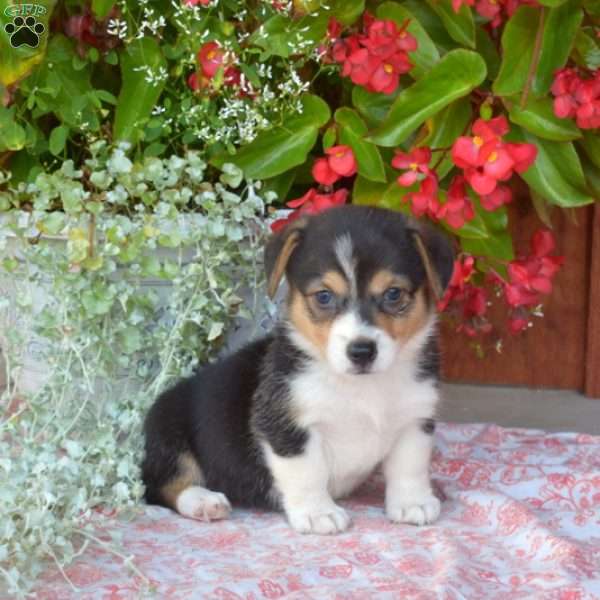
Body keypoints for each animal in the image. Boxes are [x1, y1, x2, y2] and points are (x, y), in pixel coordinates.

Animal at [143, 205, 454, 536]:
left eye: (394, 294)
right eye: (324, 296)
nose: (361, 351)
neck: (360, 387)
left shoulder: (415, 419)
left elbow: (410, 465)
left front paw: (413, 502)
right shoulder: (287, 425)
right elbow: (307, 471)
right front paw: (319, 513)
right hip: (168, 428)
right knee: (162, 483)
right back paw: (203, 500)